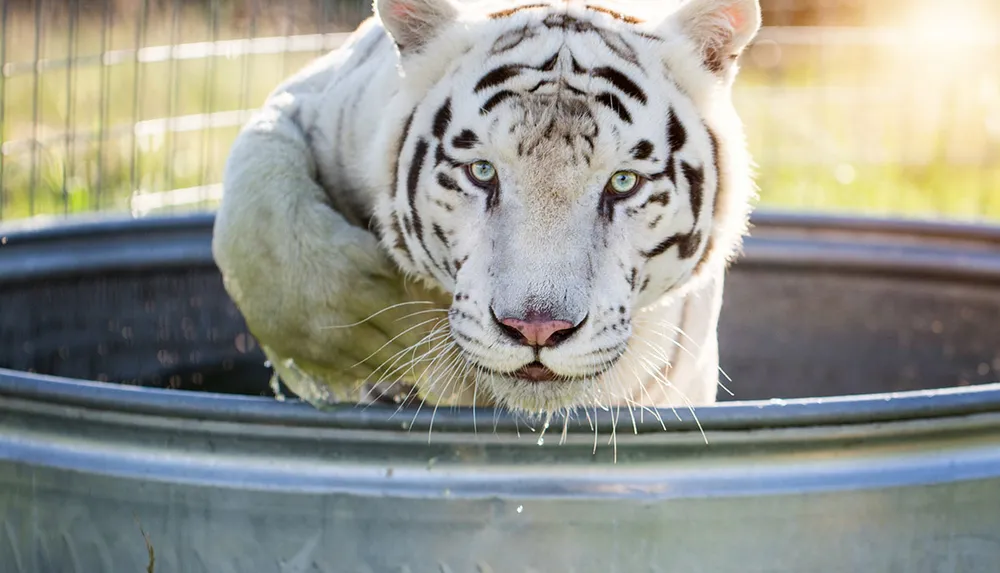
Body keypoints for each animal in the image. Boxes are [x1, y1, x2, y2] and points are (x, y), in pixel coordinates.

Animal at [211, 0, 756, 414]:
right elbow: (260, 229)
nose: (537, 328)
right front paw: (377, 329)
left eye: (623, 182)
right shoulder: (305, 103)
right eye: (482, 172)